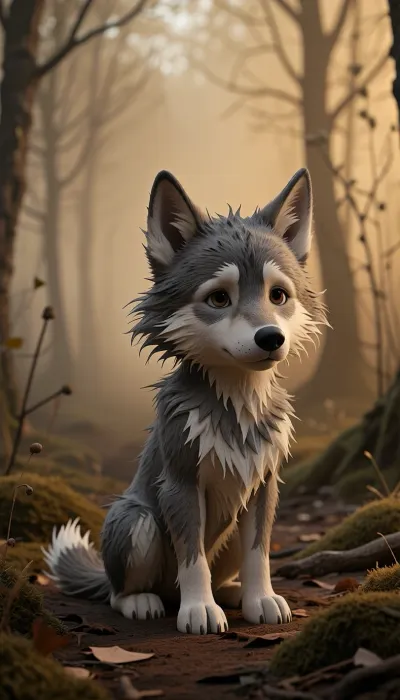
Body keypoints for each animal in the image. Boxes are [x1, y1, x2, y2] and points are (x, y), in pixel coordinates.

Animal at [43, 167, 328, 635]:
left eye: (278, 296)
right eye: (219, 298)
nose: (271, 338)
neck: (237, 409)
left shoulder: (264, 486)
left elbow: (260, 555)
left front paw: (261, 600)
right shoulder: (180, 484)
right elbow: (193, 561)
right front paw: (199, 611)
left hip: (227, 533)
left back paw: (233, 593)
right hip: (135, 520)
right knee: (120, 592)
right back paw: (145, 601)